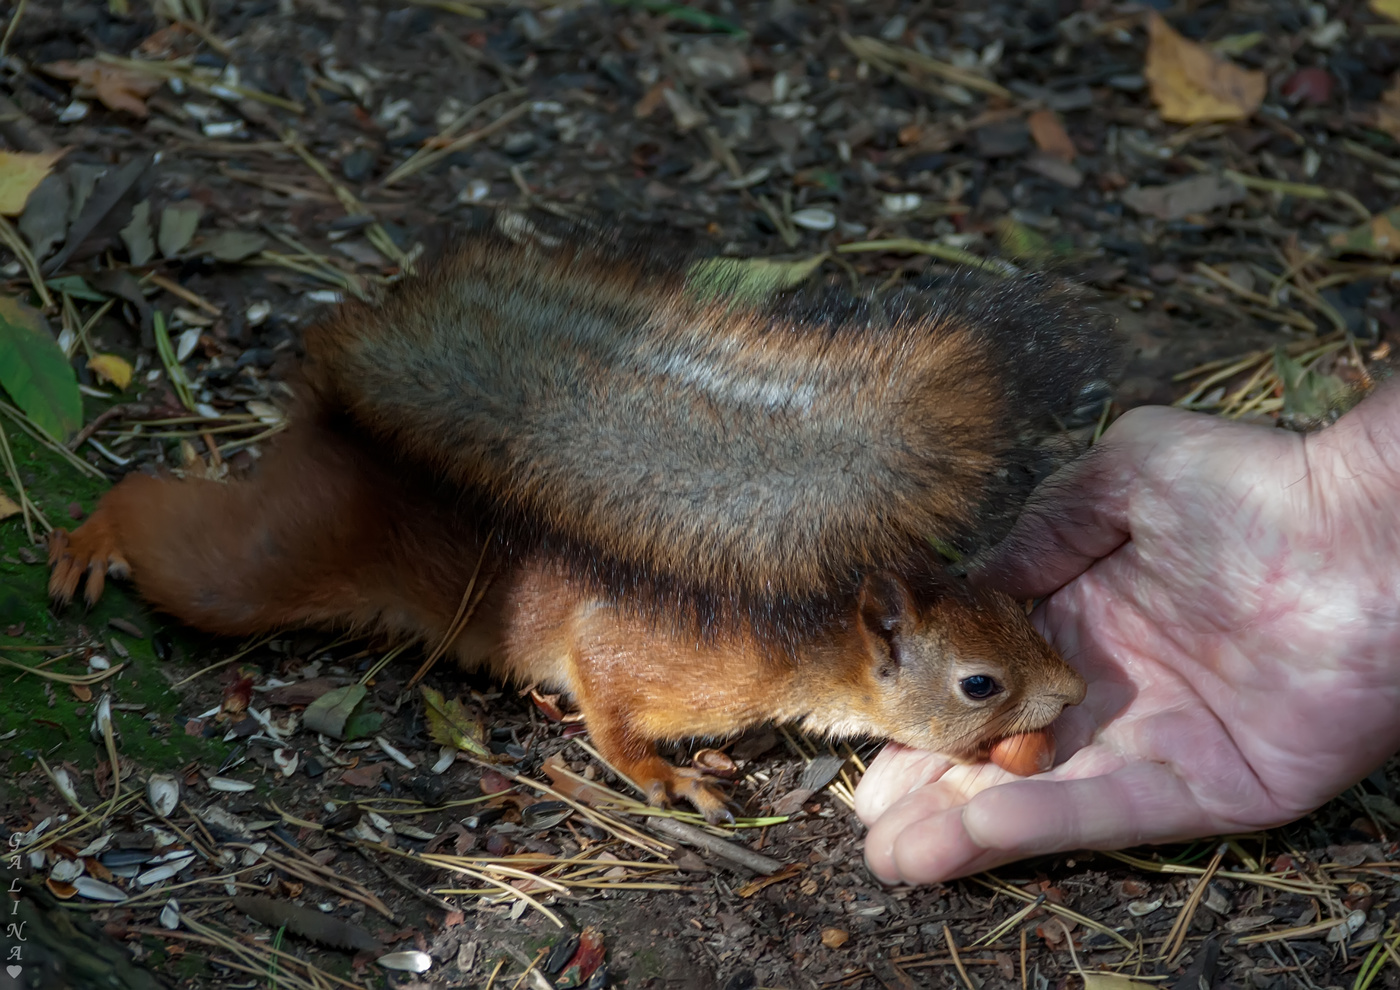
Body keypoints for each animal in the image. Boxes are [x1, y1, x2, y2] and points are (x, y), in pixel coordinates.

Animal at [46, 221, 1114, 823]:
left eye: (1019, 613)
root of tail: (335, 419)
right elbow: (604, 700)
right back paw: (90, 539)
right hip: (272, 559)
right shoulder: (639, 654)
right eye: (980, 684)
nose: (1071, 692)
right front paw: (663, 776)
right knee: (168, 523)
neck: (804, 633)